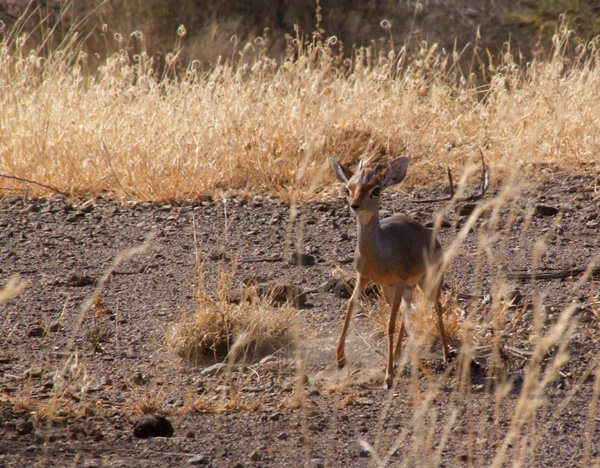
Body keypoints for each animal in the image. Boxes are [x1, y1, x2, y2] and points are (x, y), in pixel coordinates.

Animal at [328, 155, 450, 390]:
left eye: (376, 189)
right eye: (348, 188)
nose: (355, 205)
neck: (379, 251)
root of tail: (433, 238)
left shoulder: (399, 281)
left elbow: (390, 325)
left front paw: (388, 378)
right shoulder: (363, 278)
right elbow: (350, 307)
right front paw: (340, 359)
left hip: (427, 282)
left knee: (437, 307)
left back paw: (447, 356)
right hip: (399, 289)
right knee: (407, 308)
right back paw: (398, 352)